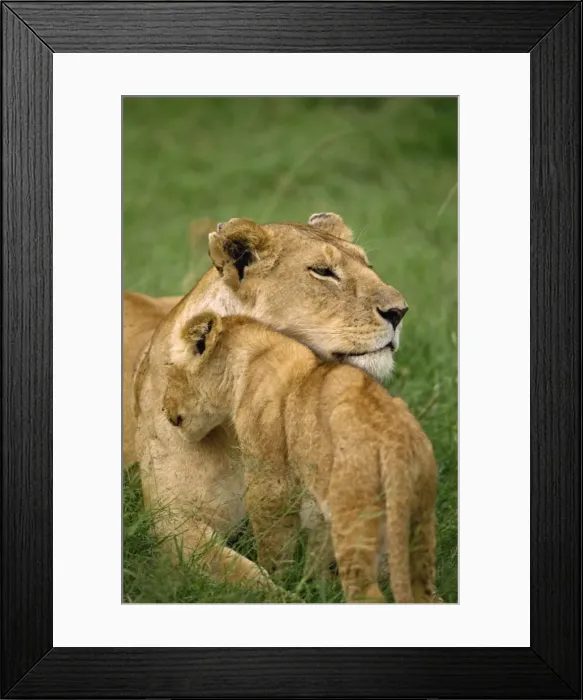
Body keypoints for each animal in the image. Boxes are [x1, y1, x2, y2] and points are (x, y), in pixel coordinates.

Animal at [160, 311, 439, 603]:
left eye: (168, 369)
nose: (162, 408)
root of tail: (397, 444)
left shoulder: (269, 483)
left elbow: (274, 545)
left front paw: (279, 581)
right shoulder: (316, 497)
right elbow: (317, 550)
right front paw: (316, 586)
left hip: (354, 522)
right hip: (418, 524)